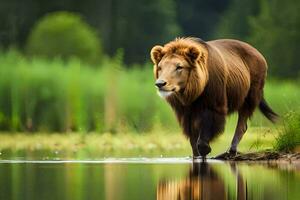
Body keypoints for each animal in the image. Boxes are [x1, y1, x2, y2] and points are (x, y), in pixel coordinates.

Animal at [150, 37, 278, 159]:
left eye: (179, 67)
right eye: (160, 67)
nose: (160, 83)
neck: (190, 93)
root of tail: (259, 54)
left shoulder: (213, 103)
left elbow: (206, 129)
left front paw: (205, 150)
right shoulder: (185, 112)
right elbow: (192, 137)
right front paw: (196, 154)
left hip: (250, 93)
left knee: (243, 122)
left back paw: (231, 151)